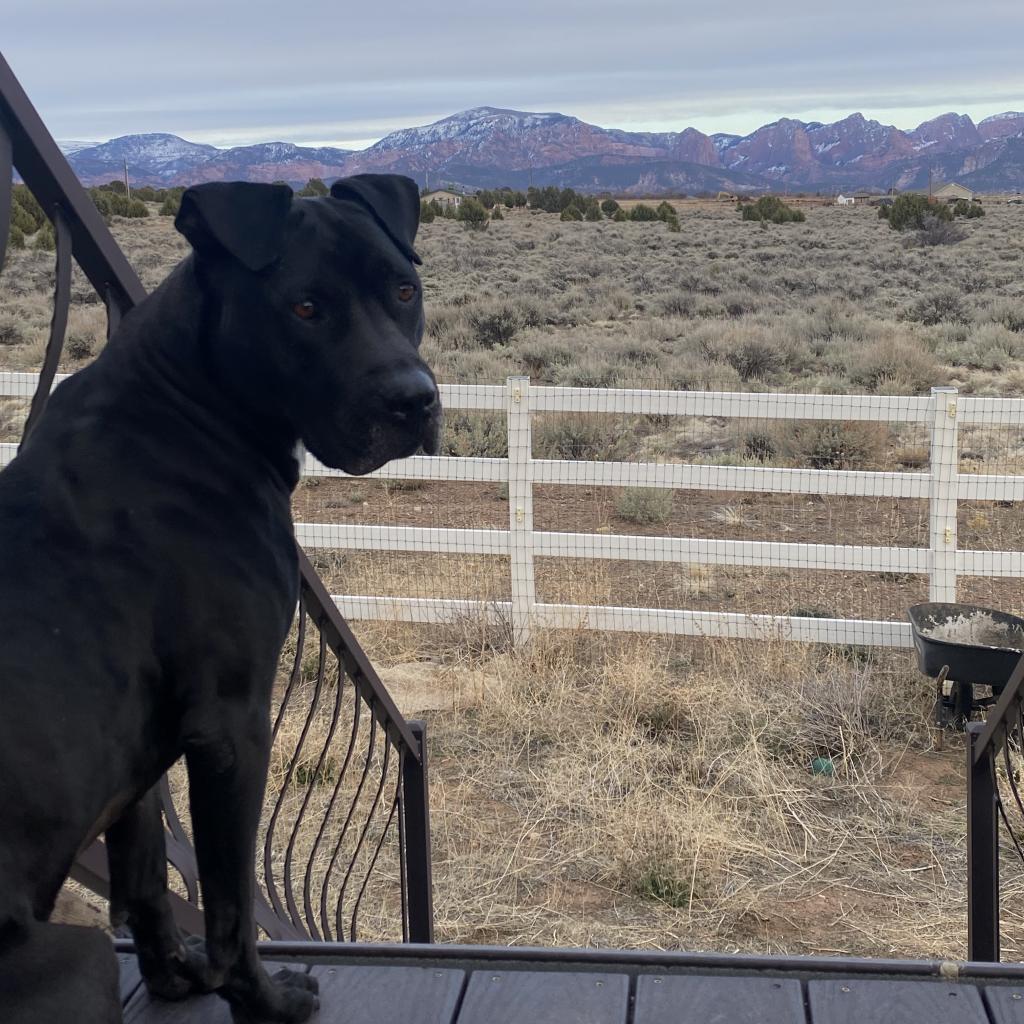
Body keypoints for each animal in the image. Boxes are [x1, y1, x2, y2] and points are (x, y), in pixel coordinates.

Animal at [0, 172, 440, 1019]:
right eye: (305, 308)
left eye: (405, 290)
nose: (415, 401)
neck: (191, 402)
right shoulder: (232, 723)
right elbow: (232, 901)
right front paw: (264, 1000)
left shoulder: (133, 759)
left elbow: (144, 877)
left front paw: (176, 979)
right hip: (74, 958)